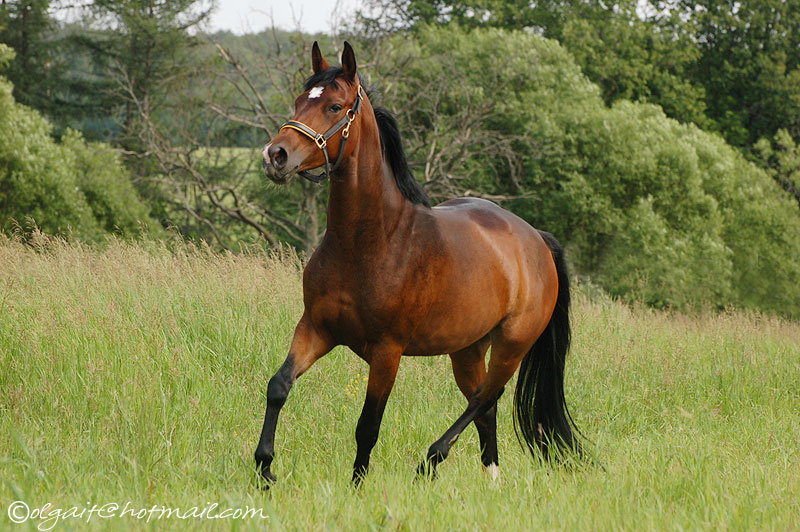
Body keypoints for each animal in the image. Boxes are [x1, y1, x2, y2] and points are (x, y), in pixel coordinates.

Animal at [256, 41, 583, 485]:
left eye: (334, 106)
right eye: (299, 101)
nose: (276, 155)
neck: (371, 243)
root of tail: (537, 240)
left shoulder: (386, 352)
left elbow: (367, 426)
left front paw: (357, 487)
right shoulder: (316, 329)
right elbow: (278, 385)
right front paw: (265, 468)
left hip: (512, 346)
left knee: (486, 398)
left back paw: (430, 461)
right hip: (467, 351)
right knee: (485, 406)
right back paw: (490, 480)